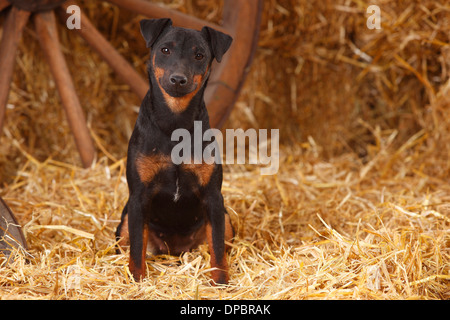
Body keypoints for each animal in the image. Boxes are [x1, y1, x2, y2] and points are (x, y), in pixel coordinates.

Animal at [116, 18, 234, 284]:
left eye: (200, 55)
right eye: (165, 50)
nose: (179, 79)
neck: (174, 122)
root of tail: (176, 250)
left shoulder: (214, 197)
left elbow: (217, 247)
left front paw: (220, 281)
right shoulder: (138, 197)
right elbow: (136, 248)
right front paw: (137, 280)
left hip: (227, 219)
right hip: (126, 220)